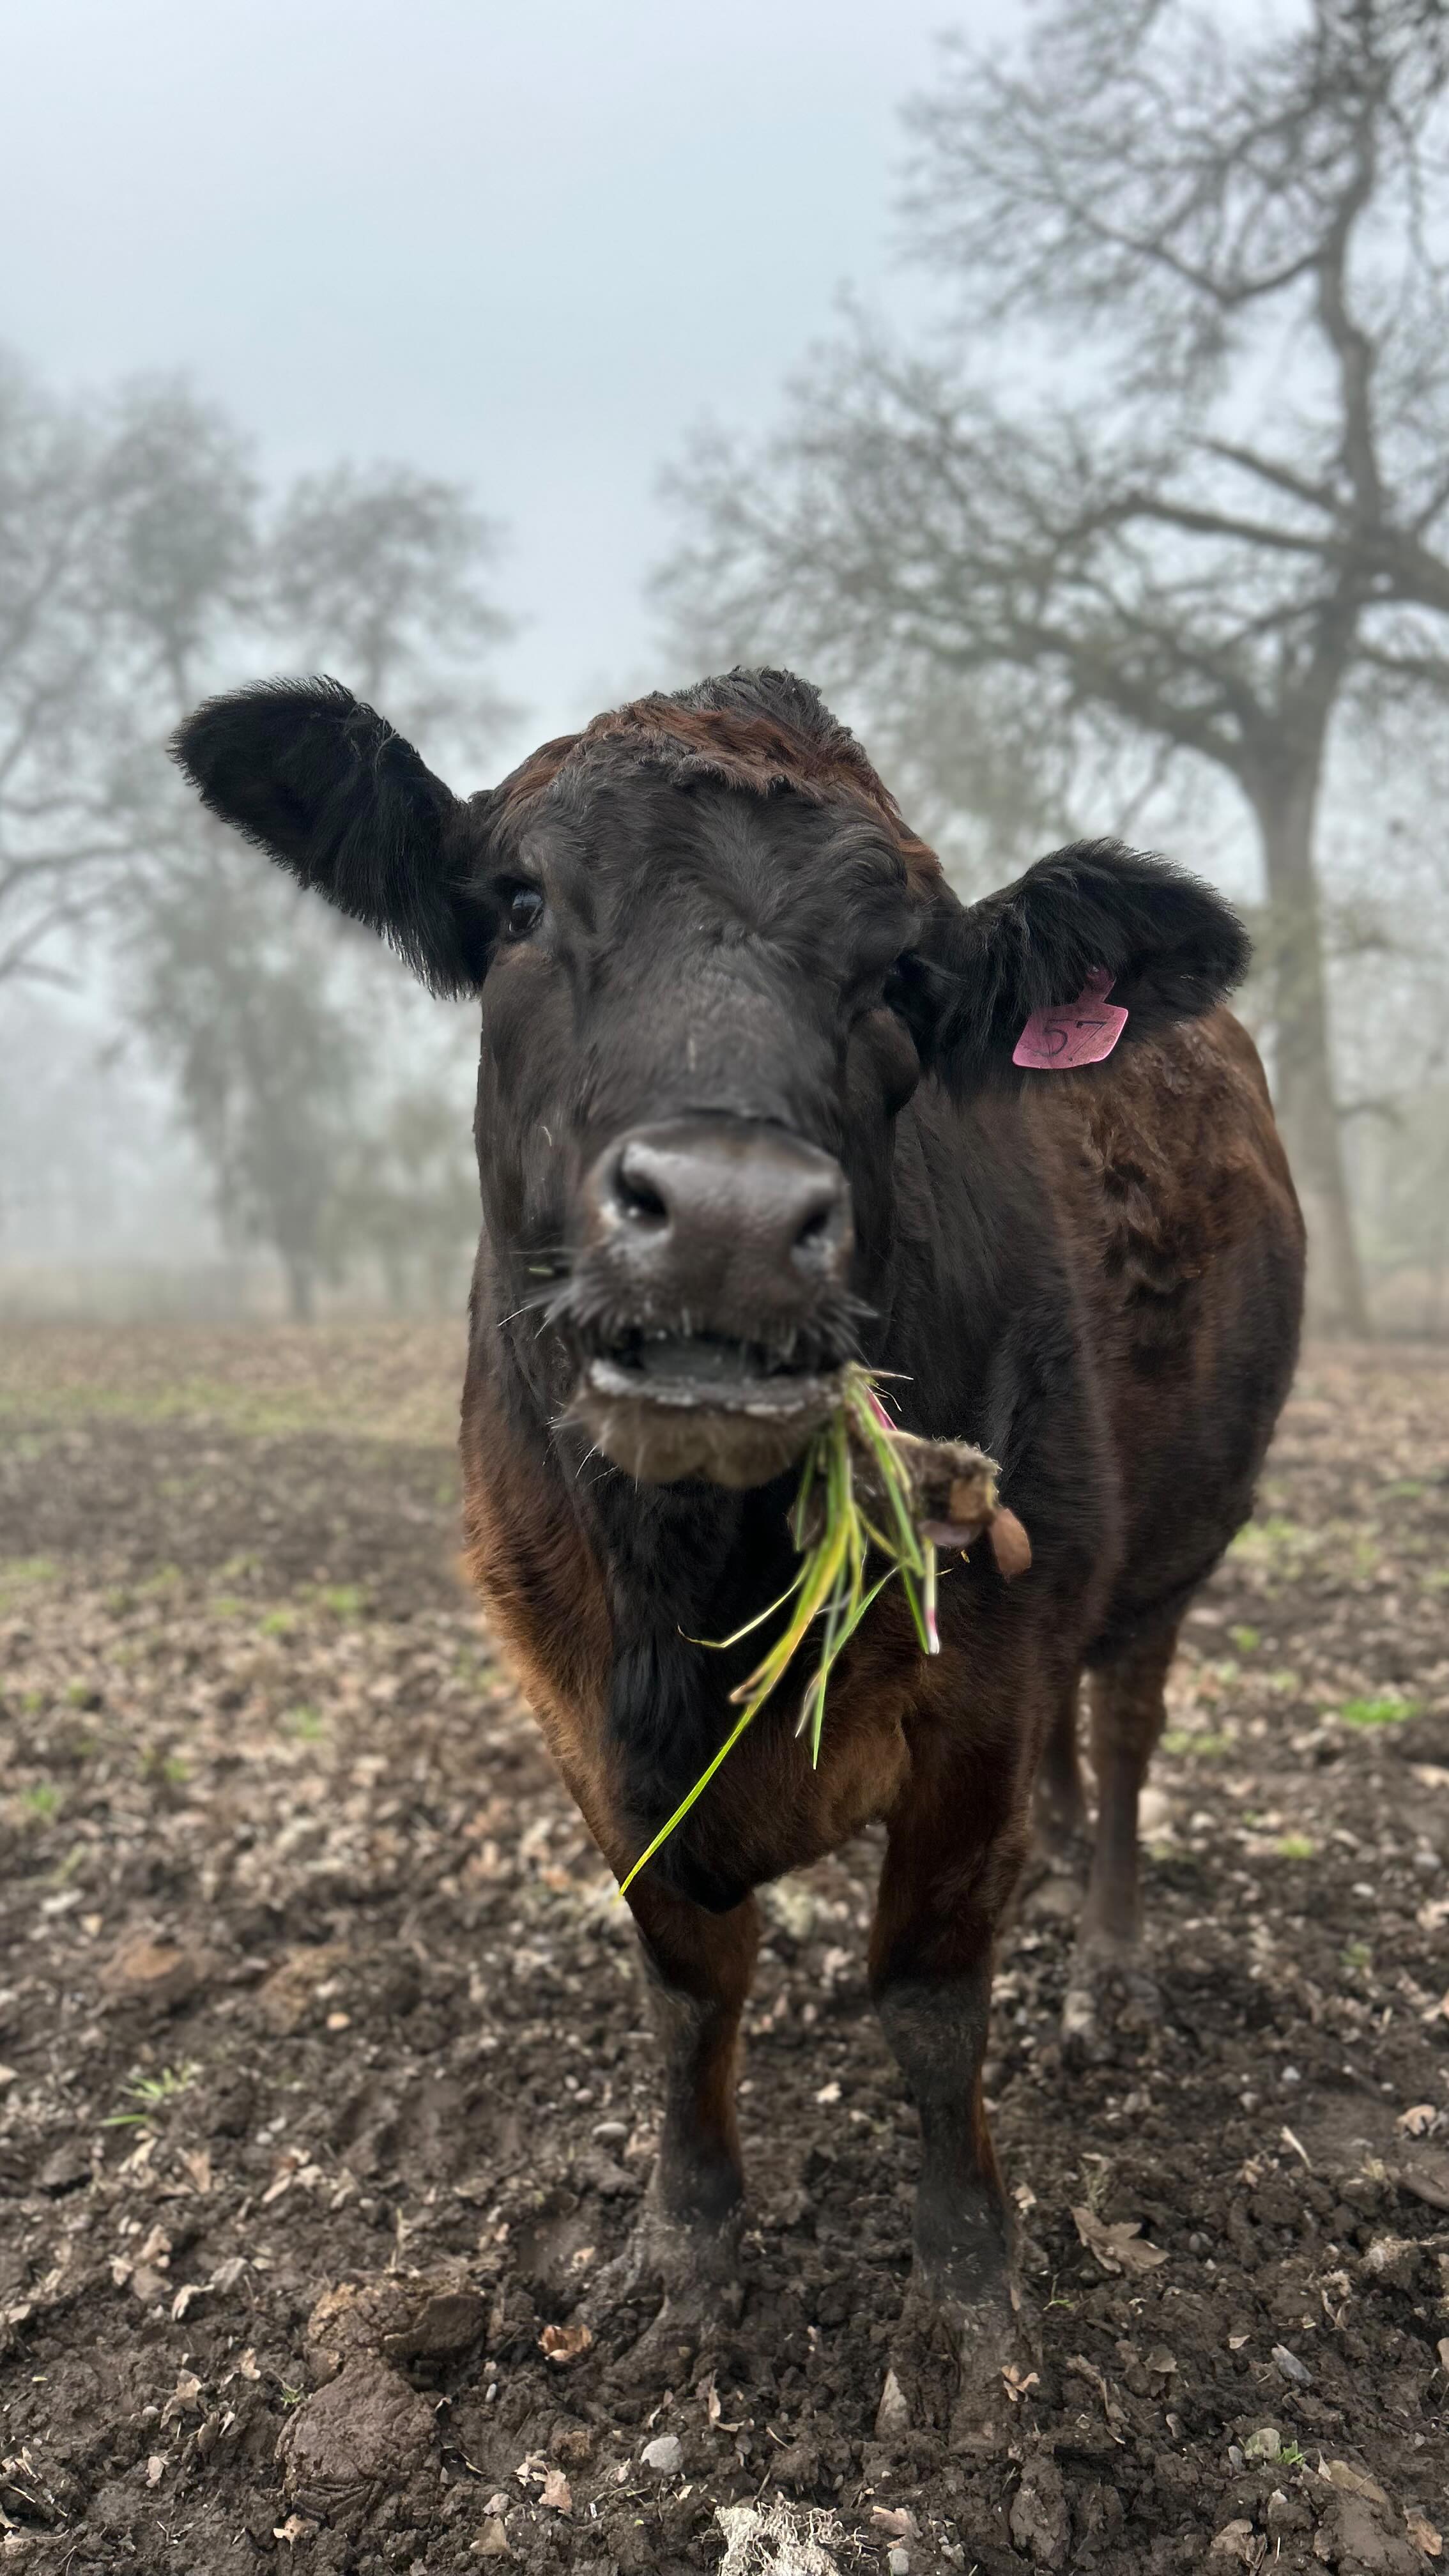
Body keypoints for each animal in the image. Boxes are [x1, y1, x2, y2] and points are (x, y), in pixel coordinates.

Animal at [172, 666, 1304, 2438]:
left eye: (906, 974)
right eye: (521, 903)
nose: (725, 1218)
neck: (690, 1581)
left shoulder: (981, 1688)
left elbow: (928, 2000)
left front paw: (970, 2301)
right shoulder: (573, 1703)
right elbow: (688, 1984)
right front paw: (687, 2258)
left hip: (1173, 1554)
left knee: (1120, 1738)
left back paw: (1108, 1971)